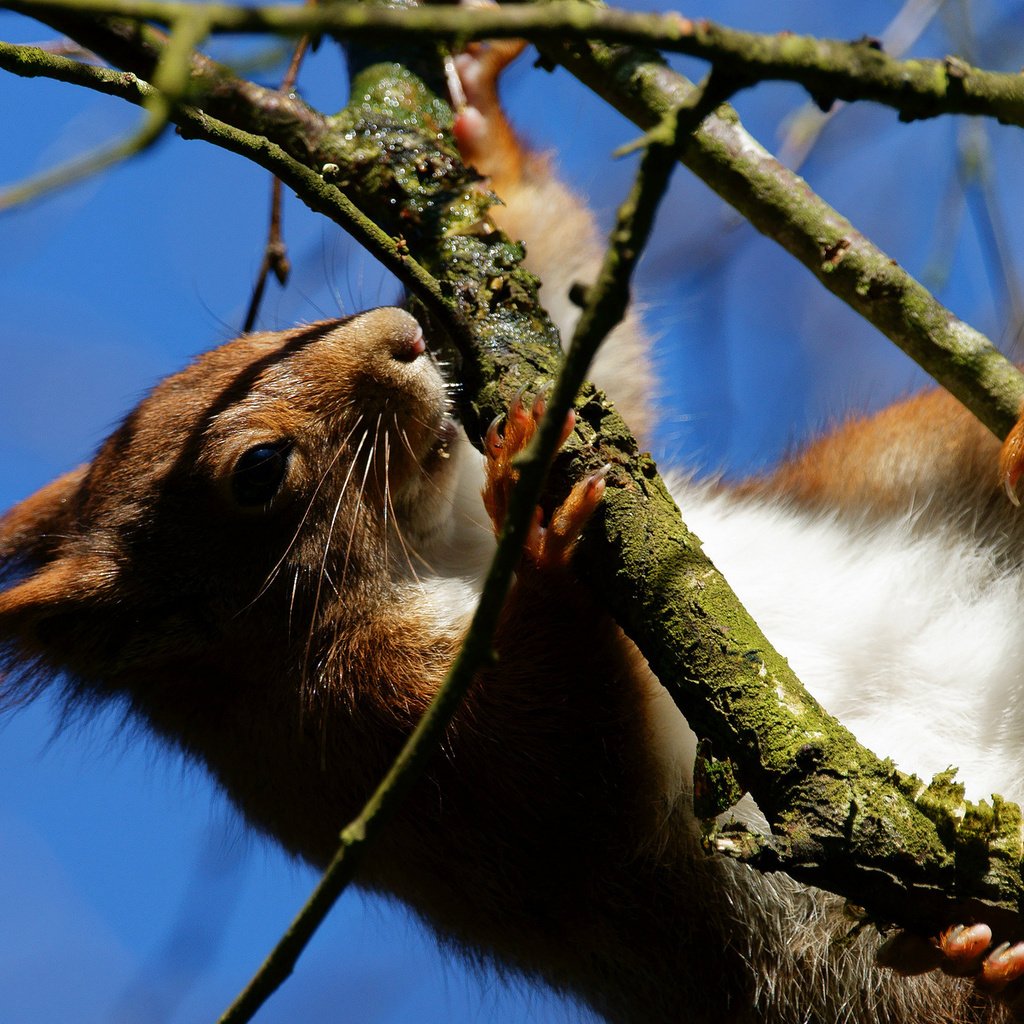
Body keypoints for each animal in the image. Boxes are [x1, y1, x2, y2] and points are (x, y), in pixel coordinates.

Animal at [2, 39, 1024, 1024]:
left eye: (261, 340)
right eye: (257, 471)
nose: (403, 330)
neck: (438, 536)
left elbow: (579, 338)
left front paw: (474, 118)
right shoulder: (387, 748)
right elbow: (566, 764)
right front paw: (540, 552)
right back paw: (981, 953)